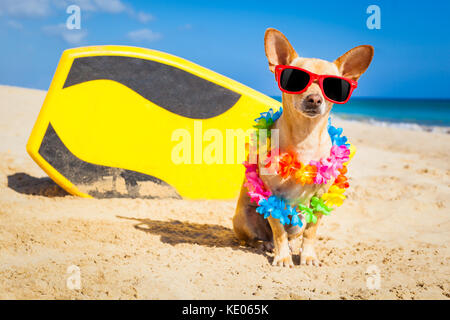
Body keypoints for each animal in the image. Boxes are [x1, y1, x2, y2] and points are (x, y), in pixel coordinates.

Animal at [232, 28, 372, 268]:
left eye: (333, 86)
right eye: (296, 79)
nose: (314, 99)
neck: (305, 137)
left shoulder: (320, 199)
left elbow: (311, 232)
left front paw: (307, 256)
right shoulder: (271, 196)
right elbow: (278, 229)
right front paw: (282, 257)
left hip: (298, 219)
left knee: (293, 234)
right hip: (243, 217)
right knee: (260, 237)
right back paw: (265, 245)